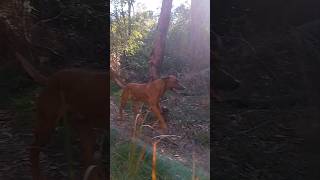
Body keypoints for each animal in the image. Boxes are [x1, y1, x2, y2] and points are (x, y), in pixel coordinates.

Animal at [15, 52, 109, 180]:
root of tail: (50, 79)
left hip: (85, 131)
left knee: (89, 164)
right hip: (47, 125)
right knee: (33, 149)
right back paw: (37, 175)